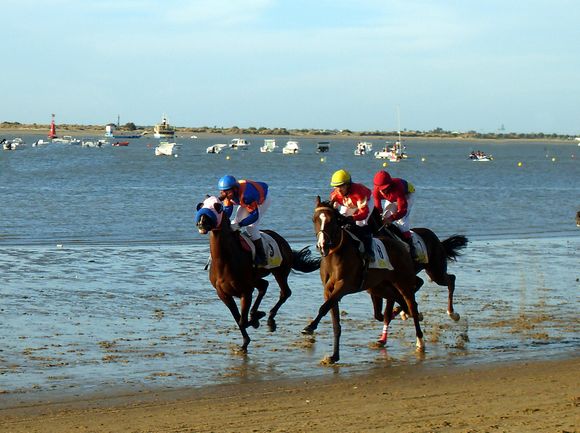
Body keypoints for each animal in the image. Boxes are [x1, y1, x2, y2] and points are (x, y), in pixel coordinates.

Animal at [196, 197, 322, 352]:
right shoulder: (224, 294)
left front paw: (256, 319)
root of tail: (281, 240)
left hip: (279, 272)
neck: (225, 261)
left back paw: (270, 319)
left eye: (217, 207)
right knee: (264, 285)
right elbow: (238, 319)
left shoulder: (245, 292)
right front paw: (245, 341)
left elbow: (242, 321)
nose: (202, 221)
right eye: (201, 205)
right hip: (256, 278)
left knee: (285, 292)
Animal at [304, 197, 422, 362]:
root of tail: (401, 244)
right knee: (397, 300)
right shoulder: (328, 290)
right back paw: (400, 312)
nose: (322, 245)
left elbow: (324, 308)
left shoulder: (343, 286)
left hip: (403, 281)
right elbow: (334, 320)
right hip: (378, 286)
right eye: (314, 219)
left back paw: (420, 341)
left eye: (331, 220)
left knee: (412, 305)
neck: (335, 255)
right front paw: (334, 356)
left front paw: (310, 327)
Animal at [370, 208, 468, 346]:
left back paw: (452, 313)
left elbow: (386, 314)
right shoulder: (377, 286)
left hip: (435, 271)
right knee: (420, 283)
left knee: (451, 280)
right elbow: (378, 315)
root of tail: (437, 240)